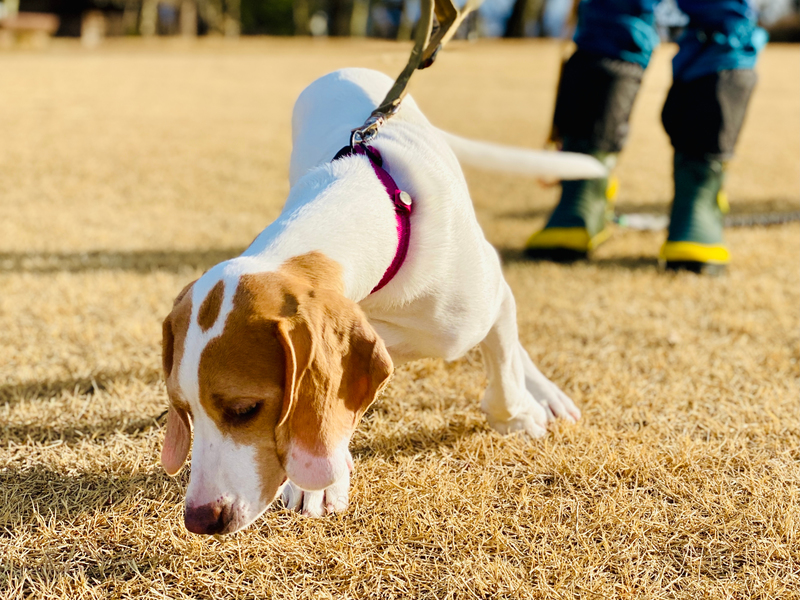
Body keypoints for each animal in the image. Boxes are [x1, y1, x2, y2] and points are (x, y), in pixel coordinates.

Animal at [162, 67, 600, 536]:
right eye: (183, 409)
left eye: (246, 409)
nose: (199, 519)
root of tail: (345, 71)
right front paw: (320, 484)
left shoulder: (484, 301)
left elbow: (502, 369)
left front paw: (516, 415)